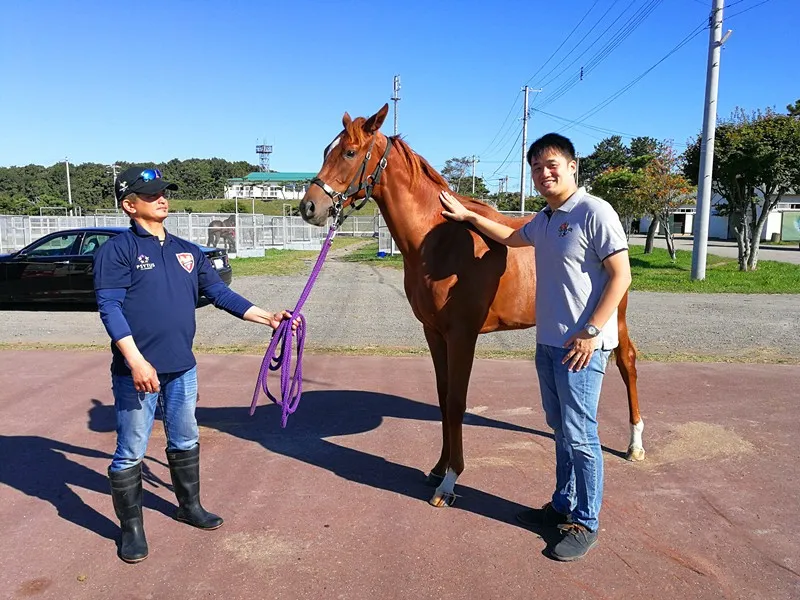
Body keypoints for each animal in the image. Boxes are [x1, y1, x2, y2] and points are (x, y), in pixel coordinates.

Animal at [298, 105, 644, 508]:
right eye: (327, 151)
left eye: (350, 153)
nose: (309, 206)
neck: (439, 240)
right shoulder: (434, 333)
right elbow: (443, 396)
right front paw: (437, 468)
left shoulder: (462, 336)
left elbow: (457, 402)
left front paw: (450, 481)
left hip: (616, 319)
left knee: (627, 363)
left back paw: (634, 444)